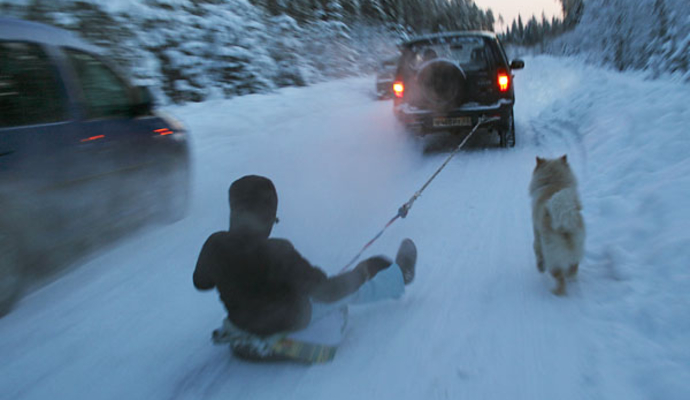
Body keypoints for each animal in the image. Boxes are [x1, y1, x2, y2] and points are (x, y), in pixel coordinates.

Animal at [529, 155, 585, 295]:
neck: (553, 183)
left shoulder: (536, 234)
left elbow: (537, 251)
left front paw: (540, 267)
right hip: (577, 248)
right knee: (573, 268)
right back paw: (571, 279)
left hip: (552, 256)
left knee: (560, 279)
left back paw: (556, 292)